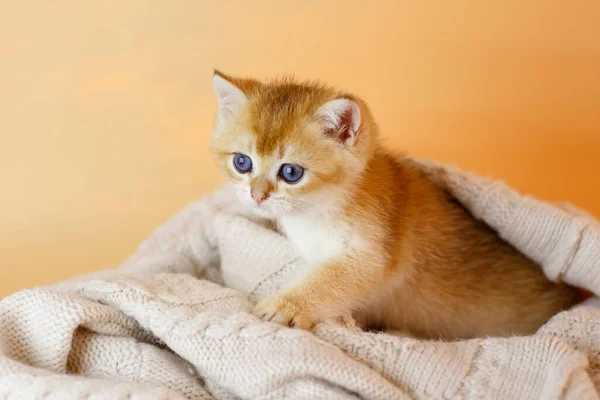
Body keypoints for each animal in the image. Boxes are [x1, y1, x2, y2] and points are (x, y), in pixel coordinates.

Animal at [210, 70, 576, 340]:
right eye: (242, 163)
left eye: (291, 172)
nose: (257, 195)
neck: (322, 209)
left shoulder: (371, 254)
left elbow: (330, 280)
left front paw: (285, 305)